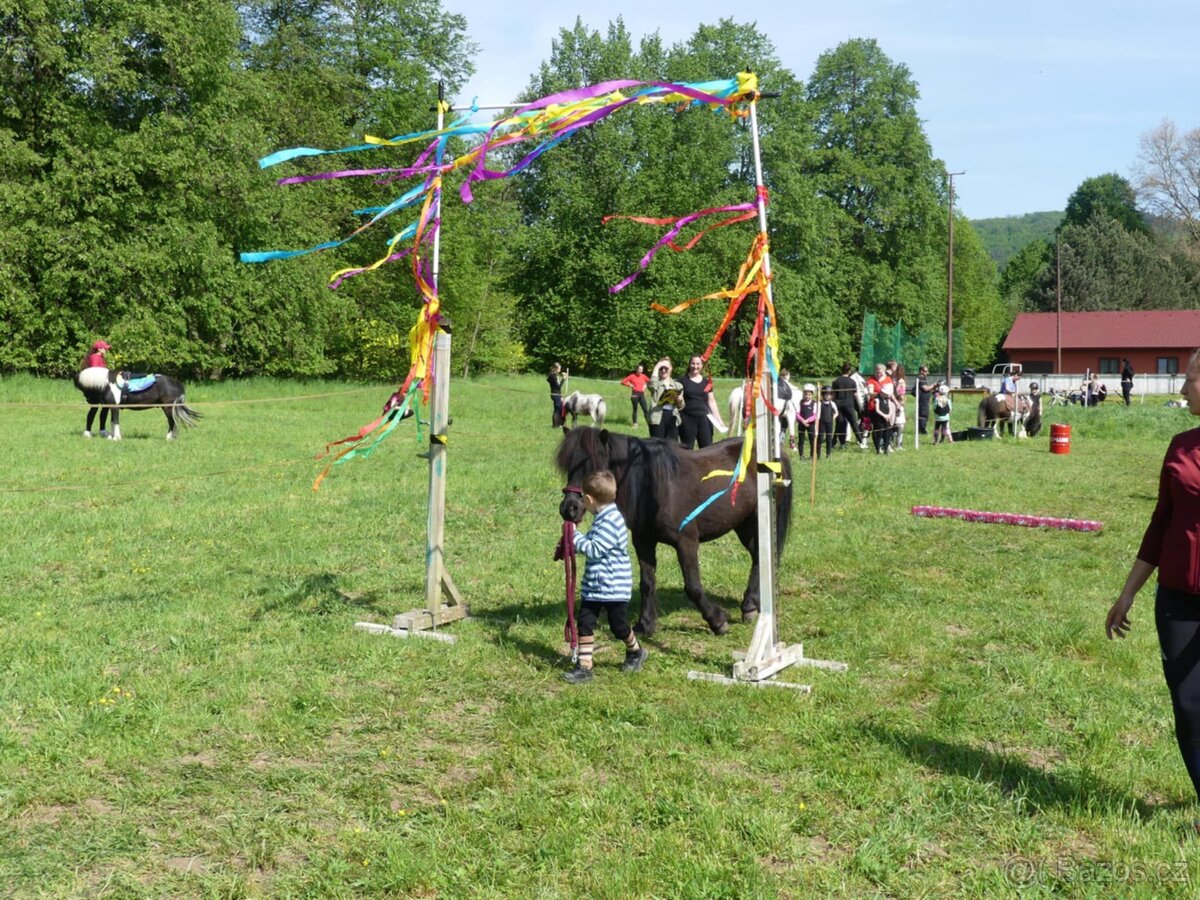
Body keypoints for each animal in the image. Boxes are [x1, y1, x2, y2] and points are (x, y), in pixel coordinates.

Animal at [555, 427, 792, 637]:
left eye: (594, 467)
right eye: (568, 466)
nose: (569, 508)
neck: (656, 487)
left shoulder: (686, 542)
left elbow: (693, 587)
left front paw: (717, 622)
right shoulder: (643, 541)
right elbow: (647, 583)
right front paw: (645, 625)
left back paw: (750, 606)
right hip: (743, 524)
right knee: (758, 557)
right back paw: (751, 604)